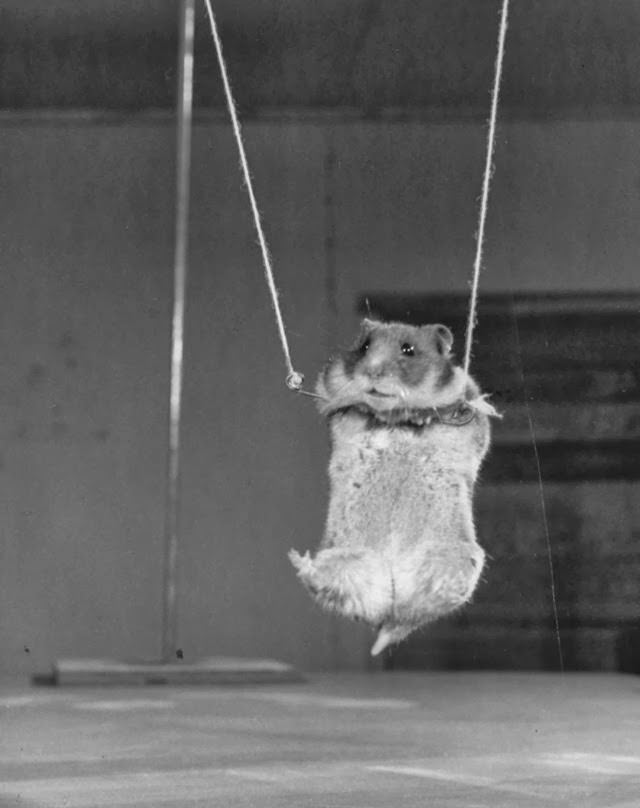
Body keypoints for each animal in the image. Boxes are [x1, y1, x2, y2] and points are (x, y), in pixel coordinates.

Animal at [289, 318, 498, 656]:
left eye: (408, 350)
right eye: (364, 347)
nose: (373, 372)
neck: (394, 416)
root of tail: (392, 607)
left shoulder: (469, 410)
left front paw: (423, 417)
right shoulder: (338, 413)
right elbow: (351, 409)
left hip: (451, 555)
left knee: (422, 607)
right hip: (347, 561)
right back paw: (301, 561)